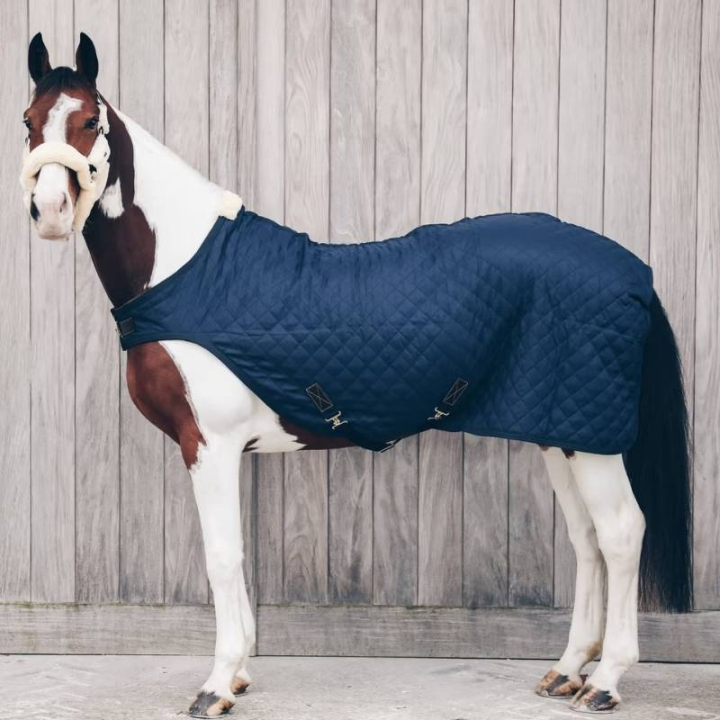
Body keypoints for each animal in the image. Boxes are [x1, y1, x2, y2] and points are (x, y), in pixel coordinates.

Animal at [19, 32, 691, 718]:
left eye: (90, 121)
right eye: (28, 122)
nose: (48, 210)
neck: (186, 269)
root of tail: (632, 270)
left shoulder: (210, 443)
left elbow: (223, 557)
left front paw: (217, 683)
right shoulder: (223, 449)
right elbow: (237, 558)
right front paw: (241, 673)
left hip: (591, 440)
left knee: (620, 532)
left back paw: (606, 679)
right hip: (561, 430)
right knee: (587, 538)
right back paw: (567, 670)